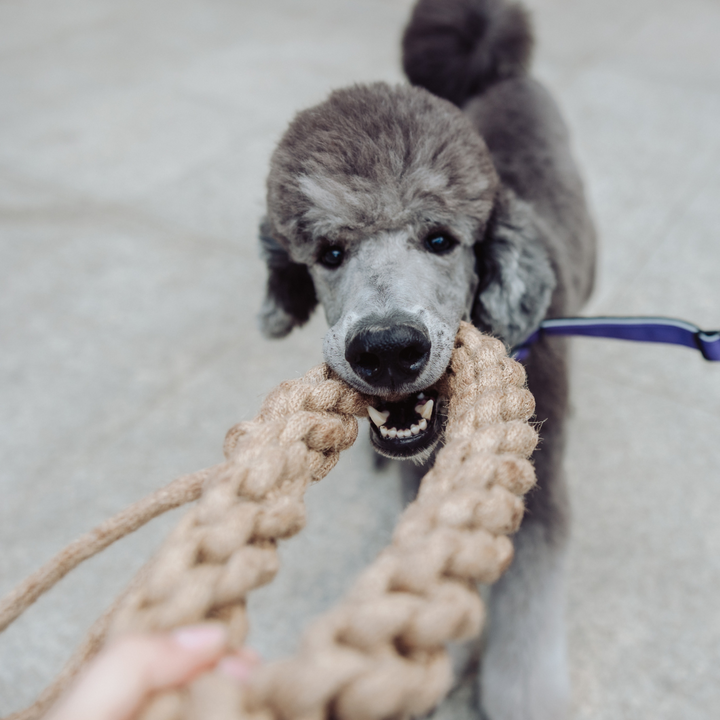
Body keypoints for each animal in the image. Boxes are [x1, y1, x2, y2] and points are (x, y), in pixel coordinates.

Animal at [256, 1, 592, 720]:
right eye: (329, 252)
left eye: (441, 239)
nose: (387, 350)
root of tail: (496, 71)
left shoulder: (540, 489)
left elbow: (525, 627)